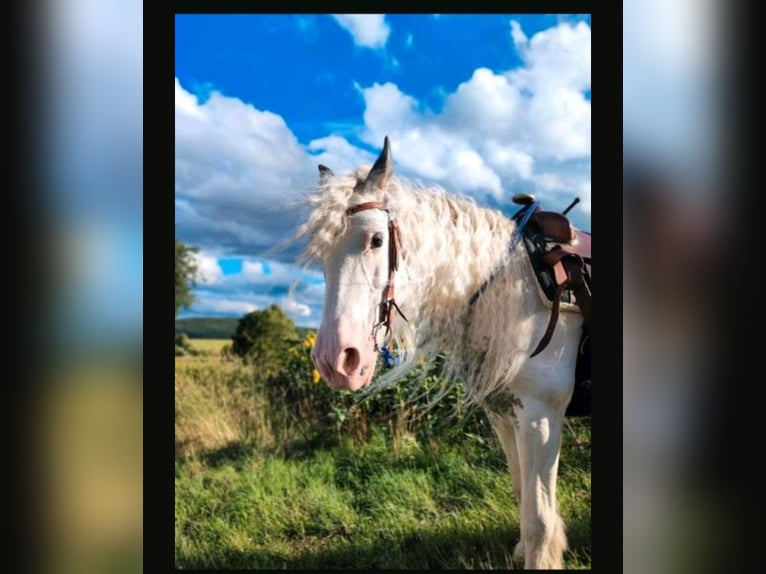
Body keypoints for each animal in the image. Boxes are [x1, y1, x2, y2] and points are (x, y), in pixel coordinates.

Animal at [300, 136, 588, 572]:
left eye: (376, 240)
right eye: (321, 257)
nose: (337, 360)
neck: (518, 289)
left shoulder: (541, 416)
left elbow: (539, 516)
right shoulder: (505, 413)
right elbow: (522, 493)